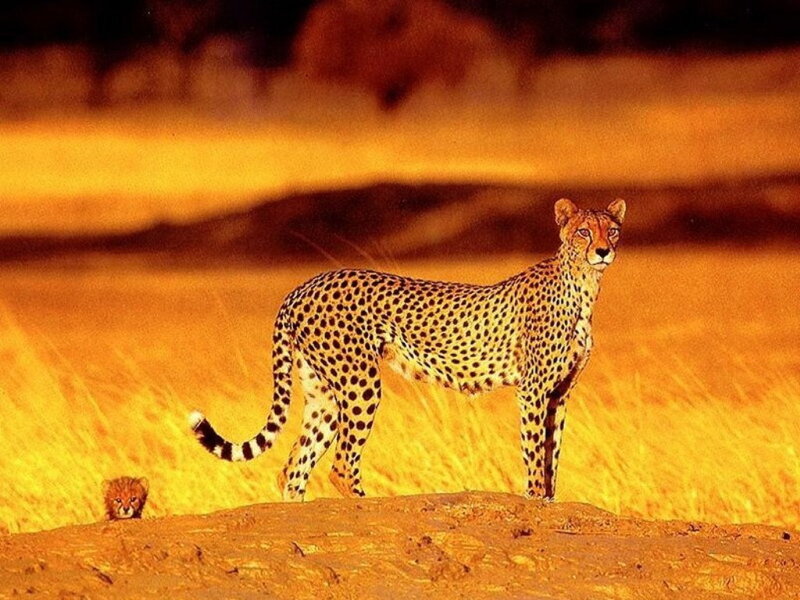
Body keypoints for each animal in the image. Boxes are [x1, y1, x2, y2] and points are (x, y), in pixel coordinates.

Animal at [189, 198, 626, 502]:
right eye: (584, 231)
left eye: (612, 230)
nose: (604, 251)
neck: (583, 286)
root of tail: (305, 284)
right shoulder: (533, 391)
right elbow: (535, 452)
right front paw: (534, 499)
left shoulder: (559, 394)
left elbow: (553, 453)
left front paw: (550, 500)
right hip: (360, 383)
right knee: (340, 465)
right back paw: (366, 504)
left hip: (323, 392)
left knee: (294, 466)